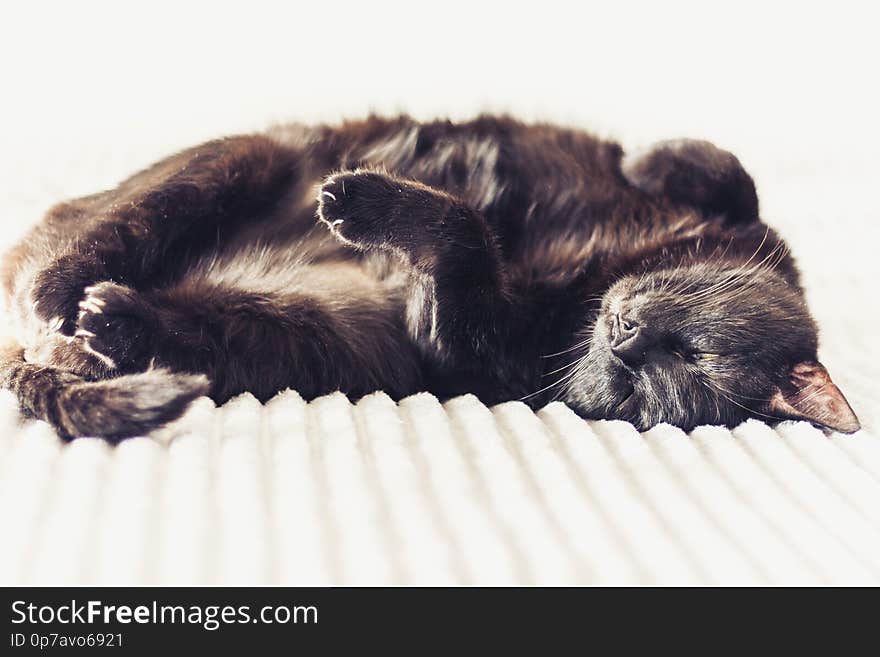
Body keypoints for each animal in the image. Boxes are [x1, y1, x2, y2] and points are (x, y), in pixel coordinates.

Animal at [0, 115, 860, 438]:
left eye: (650, 386)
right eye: (693, 350)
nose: (625, 338)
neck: (595, 281)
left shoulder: (469, 342)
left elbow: (468, 230)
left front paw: (370, 204)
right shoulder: (745, 221)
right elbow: (728, 171)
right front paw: (648, 158)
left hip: (309, 336)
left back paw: (107, 319)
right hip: (243, 156)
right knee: (73, 247)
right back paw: (62, 291)